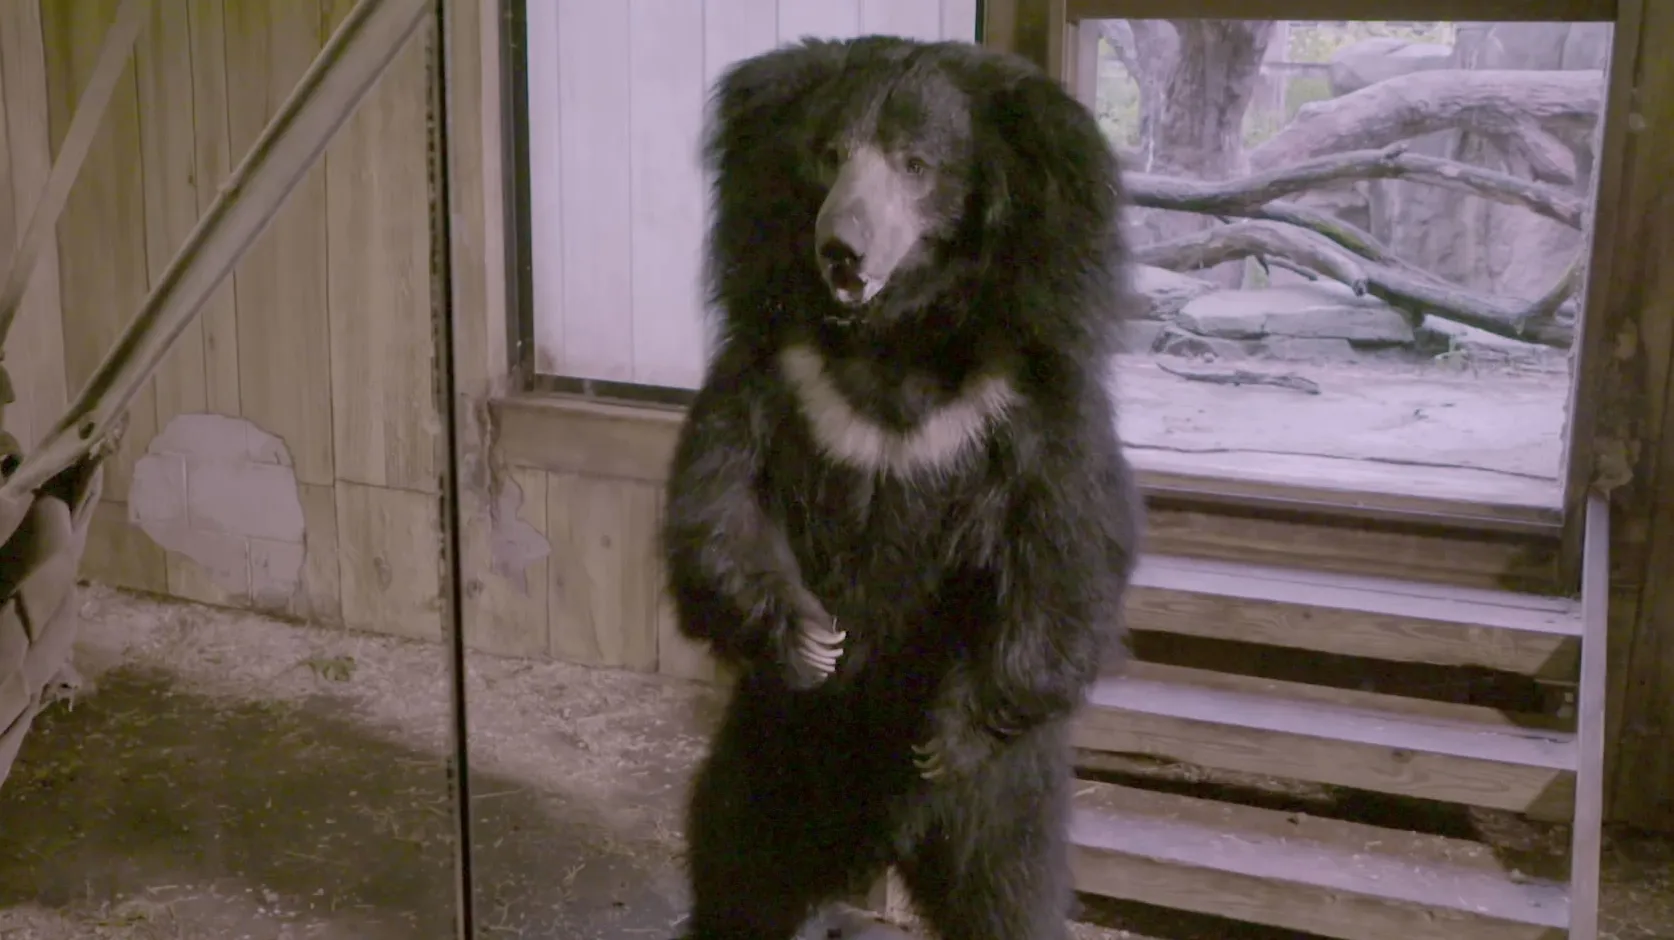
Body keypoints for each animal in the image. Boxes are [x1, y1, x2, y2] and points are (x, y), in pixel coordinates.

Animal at [659, 35, 1143, 940]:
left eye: (916, 165)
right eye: (831, 155)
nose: (841, 250)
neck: (897, 338)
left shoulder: (1032, 397)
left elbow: (1070, 553)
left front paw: (946, 735)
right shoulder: (776, 370)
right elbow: (716, 503)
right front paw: (813, 641)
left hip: (1002, 804)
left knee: (1011, 891)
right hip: (769, 753)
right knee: (737, 862)